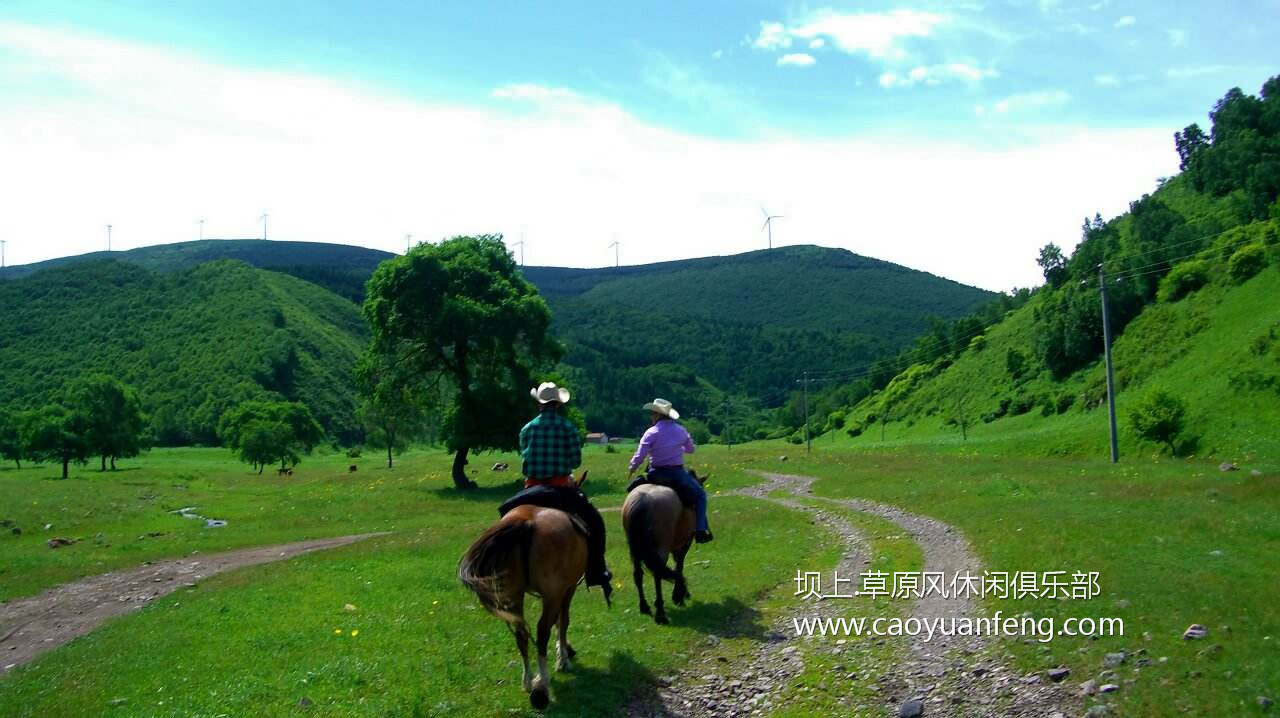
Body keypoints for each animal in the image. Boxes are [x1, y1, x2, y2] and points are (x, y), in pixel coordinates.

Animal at [455, 470, 588, 706]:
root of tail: (526, 522)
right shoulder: (567, 589)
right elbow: (563, 622)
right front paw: (563, 657)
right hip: (552, 594)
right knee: (542, 629)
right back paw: (542, 679)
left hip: (514, 594)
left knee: (521, 633)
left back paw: (527, 680)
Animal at [622, 470, 711, 622]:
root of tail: (642, 500)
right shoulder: (684, 544)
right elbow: (679, 566)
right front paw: (679, 595)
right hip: (661, 548)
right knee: (658, 573)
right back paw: (660, 613)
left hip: (635, 551)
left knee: (638, 574)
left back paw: (644, 607)